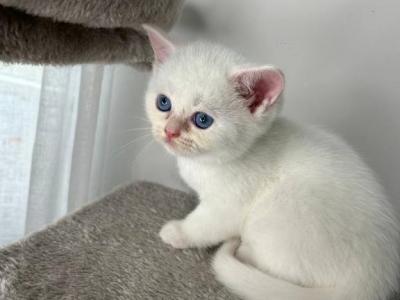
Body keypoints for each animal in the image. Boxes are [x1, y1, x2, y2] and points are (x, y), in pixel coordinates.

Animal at [142, 25, 398, 300]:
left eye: (202, 120)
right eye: (163, 103)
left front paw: (177, 232)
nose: (170, 131)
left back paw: (243, 250)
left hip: (276, 216)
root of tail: (373, 282)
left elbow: (203, 226)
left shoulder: (227, 206)